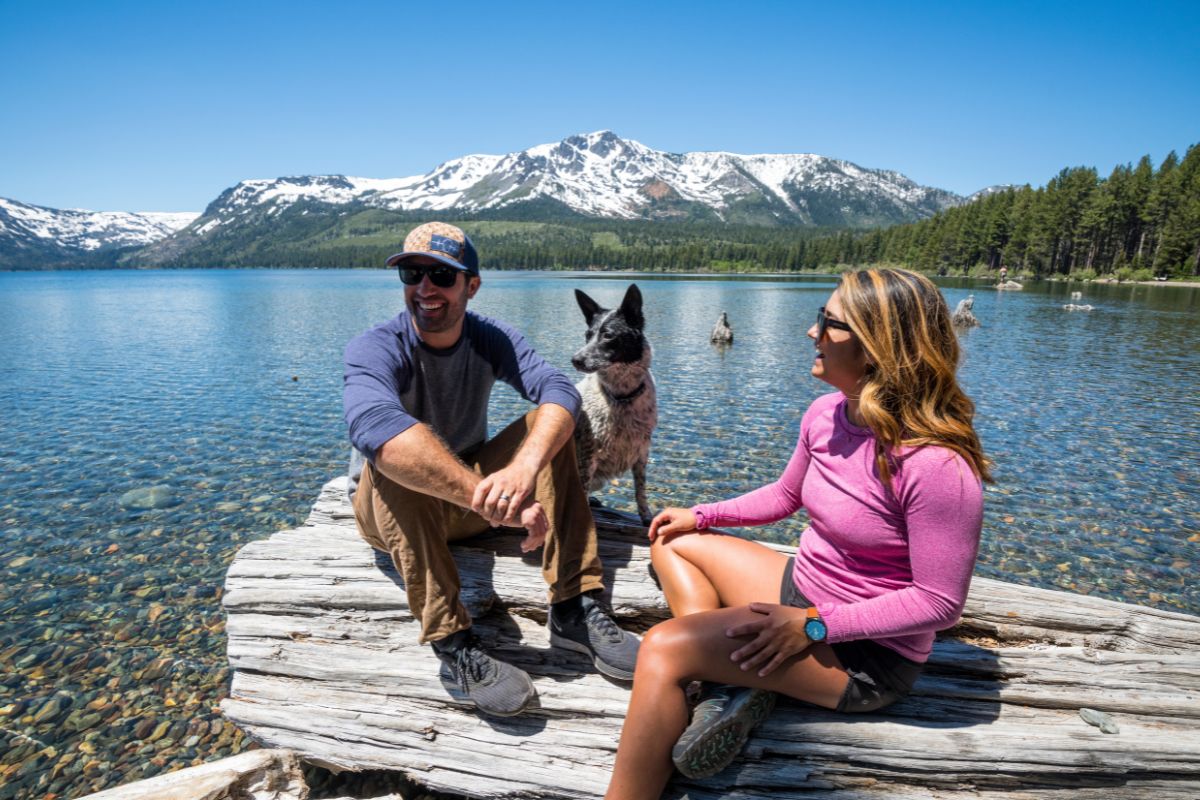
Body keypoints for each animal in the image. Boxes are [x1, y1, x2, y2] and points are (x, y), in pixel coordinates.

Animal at [568, 283, 657, 525]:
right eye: (587, 335)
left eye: (607, 335)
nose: (575, 359)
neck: (621, 397)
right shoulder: (587, 452)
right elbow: (581, 488)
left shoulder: (642, 452)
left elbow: (640, 489)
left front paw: (646, 516)